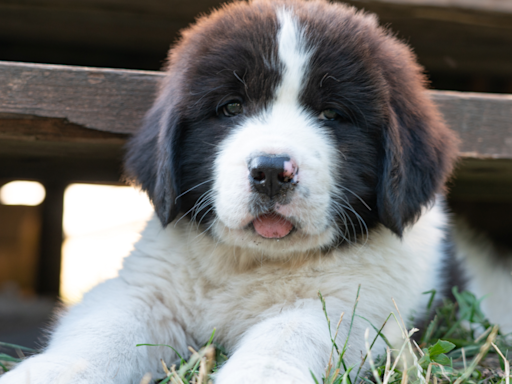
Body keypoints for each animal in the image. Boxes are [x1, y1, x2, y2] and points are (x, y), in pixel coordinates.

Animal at [2, 0, 510, 384]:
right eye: (231, 108)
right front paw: (42, 374)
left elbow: (284, 340)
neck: (255, 263)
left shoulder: (350, 308)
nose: (270, 171)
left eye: (332, 114)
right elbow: (100, 334)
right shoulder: (148, 290)